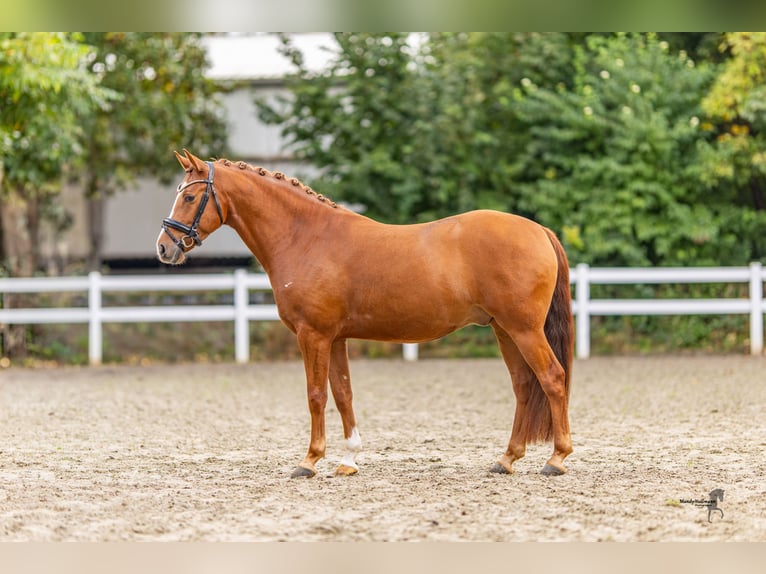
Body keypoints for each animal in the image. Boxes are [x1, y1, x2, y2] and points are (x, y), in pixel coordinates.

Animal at [157, 149, 574, 479]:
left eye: (190, 195)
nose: (164, 247)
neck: (306, 237)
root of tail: (539, 230)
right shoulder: (336, 338)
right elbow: (343, 394)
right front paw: (349, 460)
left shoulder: (313, 335)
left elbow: (316, 395)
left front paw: (309, 461)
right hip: (504, 331)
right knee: (524, 385)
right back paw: (507, 459)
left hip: (524, 330)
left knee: (552, 379)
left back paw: (556, 458)